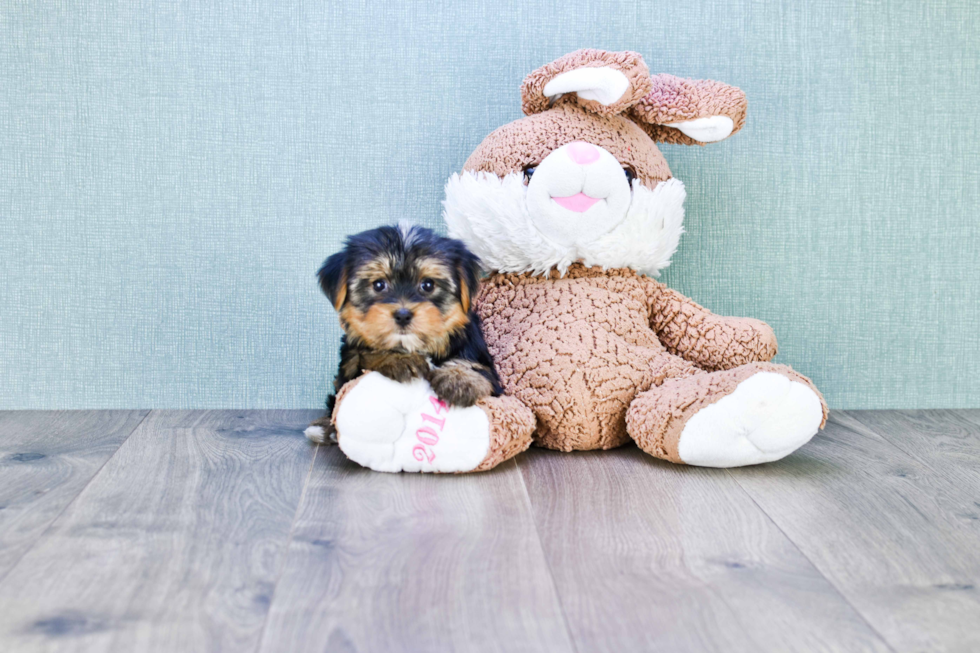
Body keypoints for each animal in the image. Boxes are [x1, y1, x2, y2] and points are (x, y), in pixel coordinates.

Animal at [306, 224, 502, 444]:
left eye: (428, 284)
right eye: (379, 285)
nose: (402, 314)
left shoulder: (480, 358)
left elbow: (478, 367)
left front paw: (459, 380)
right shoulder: (349, 368)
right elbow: (366, 354)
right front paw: (398, 359)